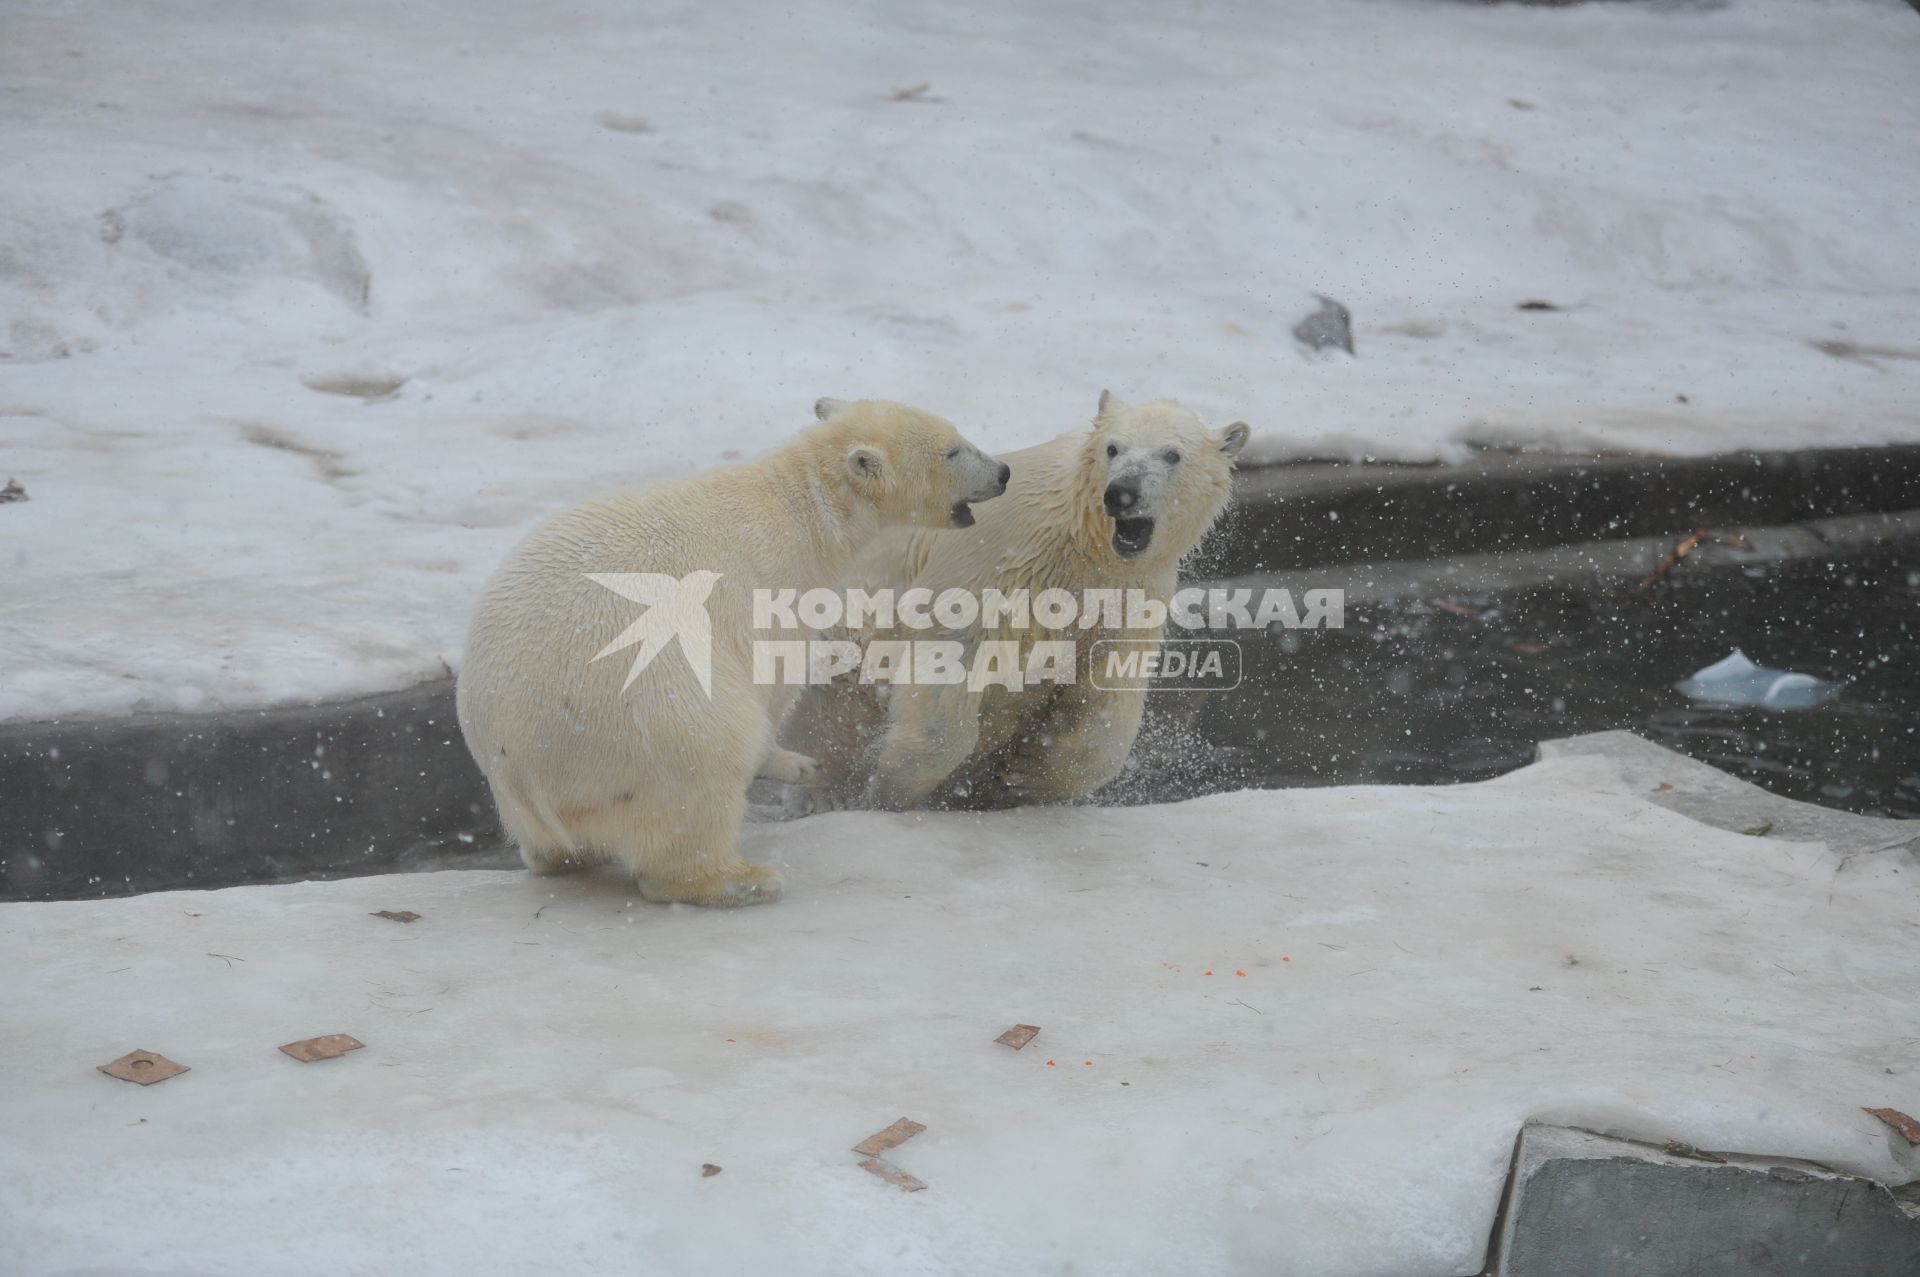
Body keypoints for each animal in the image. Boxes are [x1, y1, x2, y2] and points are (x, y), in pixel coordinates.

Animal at [456, 399, 1013, 906]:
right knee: (707, 766)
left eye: (958, 436)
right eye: (952, 449)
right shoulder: (774, 590)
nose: (1003, 472)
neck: (801, 509)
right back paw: (743, 881)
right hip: (647, 725)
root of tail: (522, 764)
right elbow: (774, 681)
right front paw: (798, 765)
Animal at [787, 387, 1251, 806]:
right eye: (1113, 448)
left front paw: (1026, 774)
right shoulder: (997, 557)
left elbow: (1106, 701)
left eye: (1172, 455)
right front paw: (890, 786)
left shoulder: (1129, 596)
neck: (1085, 544)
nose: (1122, 493)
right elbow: (949, 661)